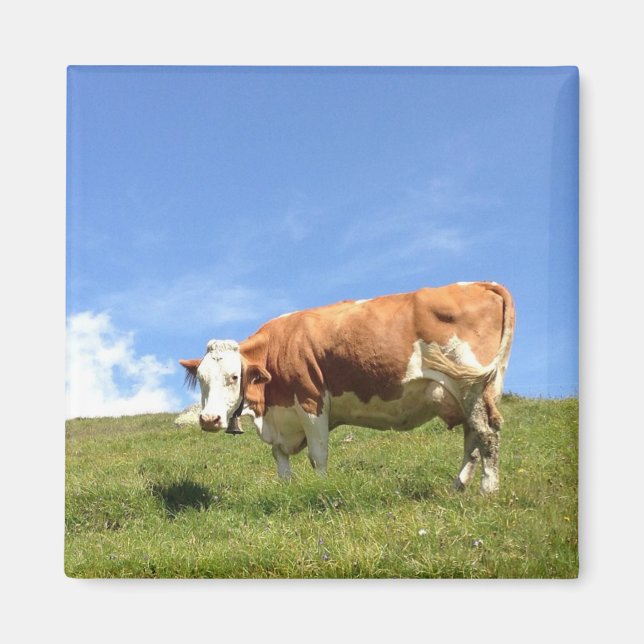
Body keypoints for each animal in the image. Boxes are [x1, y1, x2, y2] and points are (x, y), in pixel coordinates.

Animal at [179, 282, 515, 494]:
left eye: (234, 377)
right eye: (202, 378)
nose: (209, 419)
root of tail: (482, 284)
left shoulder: (311, 401)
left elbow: (318, 455)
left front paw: (320, 489)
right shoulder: (281, 418)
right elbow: (281, 461)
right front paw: (286, 489)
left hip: (471, 385)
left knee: (487, 434)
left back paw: (488, 490)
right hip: (470, 392)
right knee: (473, 437)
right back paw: (458, 487)